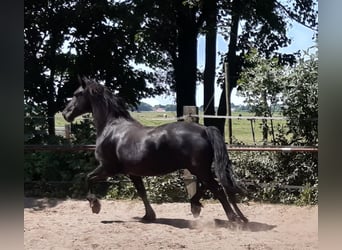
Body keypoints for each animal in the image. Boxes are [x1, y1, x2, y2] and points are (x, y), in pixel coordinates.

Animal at [62, 76, 248, 223]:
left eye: (77, 94)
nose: (65, 113)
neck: (112, 128)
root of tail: (204, 129)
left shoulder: (108, 168)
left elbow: (88, 178)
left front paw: (95, 205)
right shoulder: (132, 172)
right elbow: (142, 192)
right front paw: (148, 216)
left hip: (199, 168)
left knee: (218, 188)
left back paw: (233, 219)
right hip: (199, 169)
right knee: (212, 186)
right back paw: (207, 209)